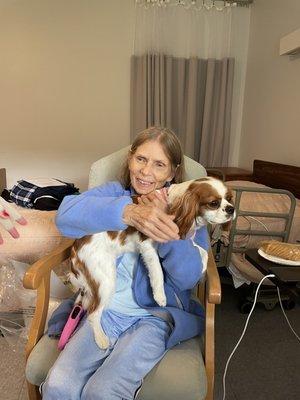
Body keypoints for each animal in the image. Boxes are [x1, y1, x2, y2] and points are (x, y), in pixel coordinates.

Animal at [68, 177, 234, 348]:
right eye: (214, 203)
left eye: (229, 198)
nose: (231, 209)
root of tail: (75, 248)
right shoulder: (148, 245)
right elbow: (158, 272)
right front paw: (160, 296)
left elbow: (202, 252)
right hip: (105, 280)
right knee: (93, 313)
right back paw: (101, 338)